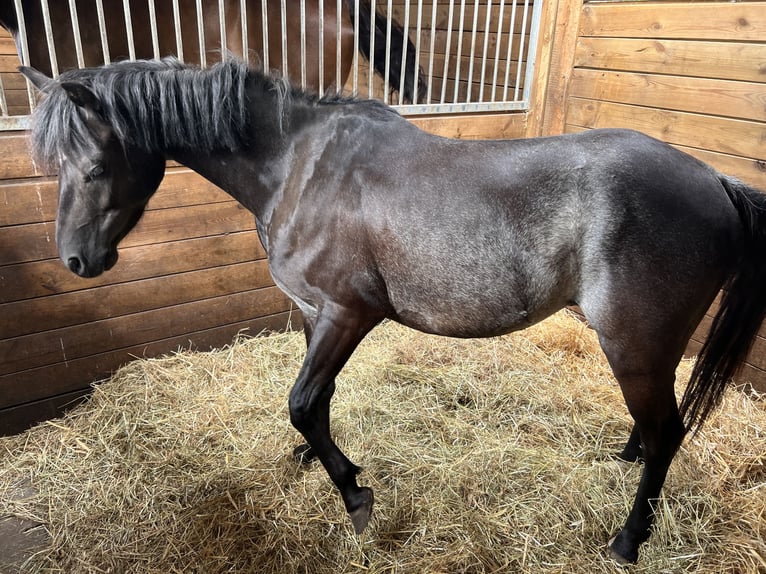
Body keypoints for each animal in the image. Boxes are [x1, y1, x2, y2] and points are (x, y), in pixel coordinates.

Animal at [19, 59, 766, 568]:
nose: (77, 260)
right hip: (642, 350)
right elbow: (316, 402)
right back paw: (623, 461)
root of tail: (715, 181)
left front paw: (354, 496)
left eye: (93, 167)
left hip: (634, 346)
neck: (300, 166)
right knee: (654, 429)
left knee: (669, 435)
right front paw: (312, 462)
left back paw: (628, 539)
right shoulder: (316, 315)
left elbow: (303, 402)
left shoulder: (347, 314)